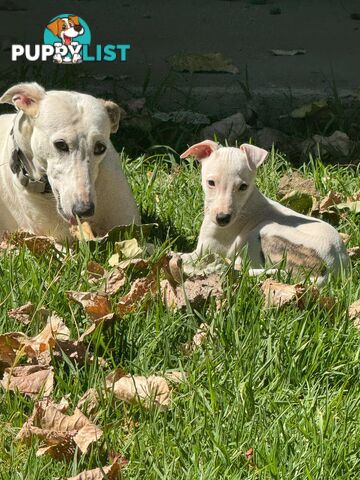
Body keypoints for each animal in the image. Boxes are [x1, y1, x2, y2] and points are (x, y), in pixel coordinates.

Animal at [181, 140, 350, 284]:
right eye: (211, 183)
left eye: (243, 187)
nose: (222, 218)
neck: (246, 204)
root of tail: (331, 269)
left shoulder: (205, 250)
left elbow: (184, 256)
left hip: (264, 230)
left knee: (259, 269)